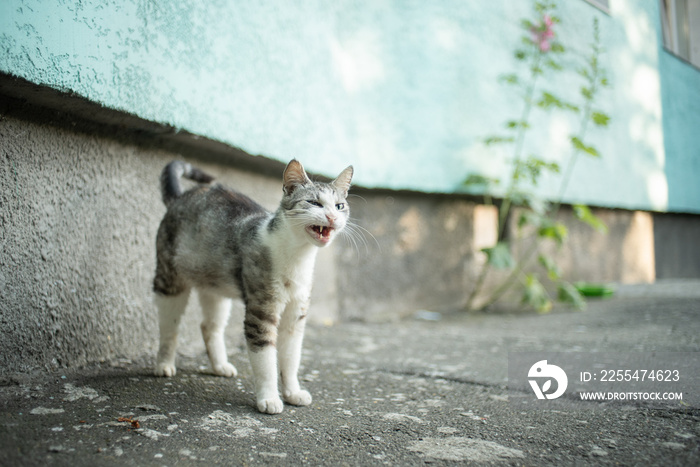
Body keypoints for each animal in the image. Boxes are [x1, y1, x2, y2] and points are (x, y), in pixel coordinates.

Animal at [151, 159, 352, 414]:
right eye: (314, 203)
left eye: (339, 206)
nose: (332, 217)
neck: (297, 256)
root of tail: (180, 197)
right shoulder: (261, 312)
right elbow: (265, 360)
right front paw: (269, 399)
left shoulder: (295, 316)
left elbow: (291, 357)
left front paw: (293, 393)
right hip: (170, 280)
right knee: (170, 327)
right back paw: (164, 364)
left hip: (215, 286)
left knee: (209, 326)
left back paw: (221, 366)